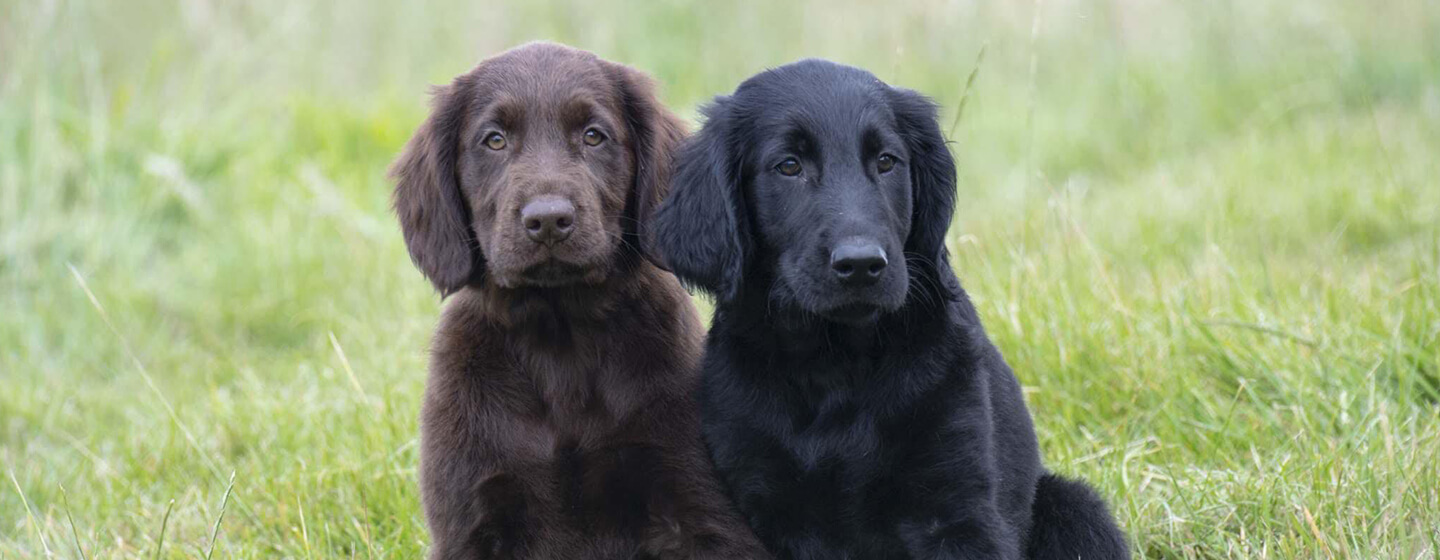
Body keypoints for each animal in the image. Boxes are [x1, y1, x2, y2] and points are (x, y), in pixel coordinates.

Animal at [388, 42, 771, 558]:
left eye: (593, 136)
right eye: (494, 140)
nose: (549, 220)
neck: (560, 339)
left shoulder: (701, 512)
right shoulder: (470, 519)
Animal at [648, 59, 1128, 555]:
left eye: (886, 162)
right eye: (789, 166)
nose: (861, 264)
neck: (835, 365)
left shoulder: (955, 510)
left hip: (1075, 508)